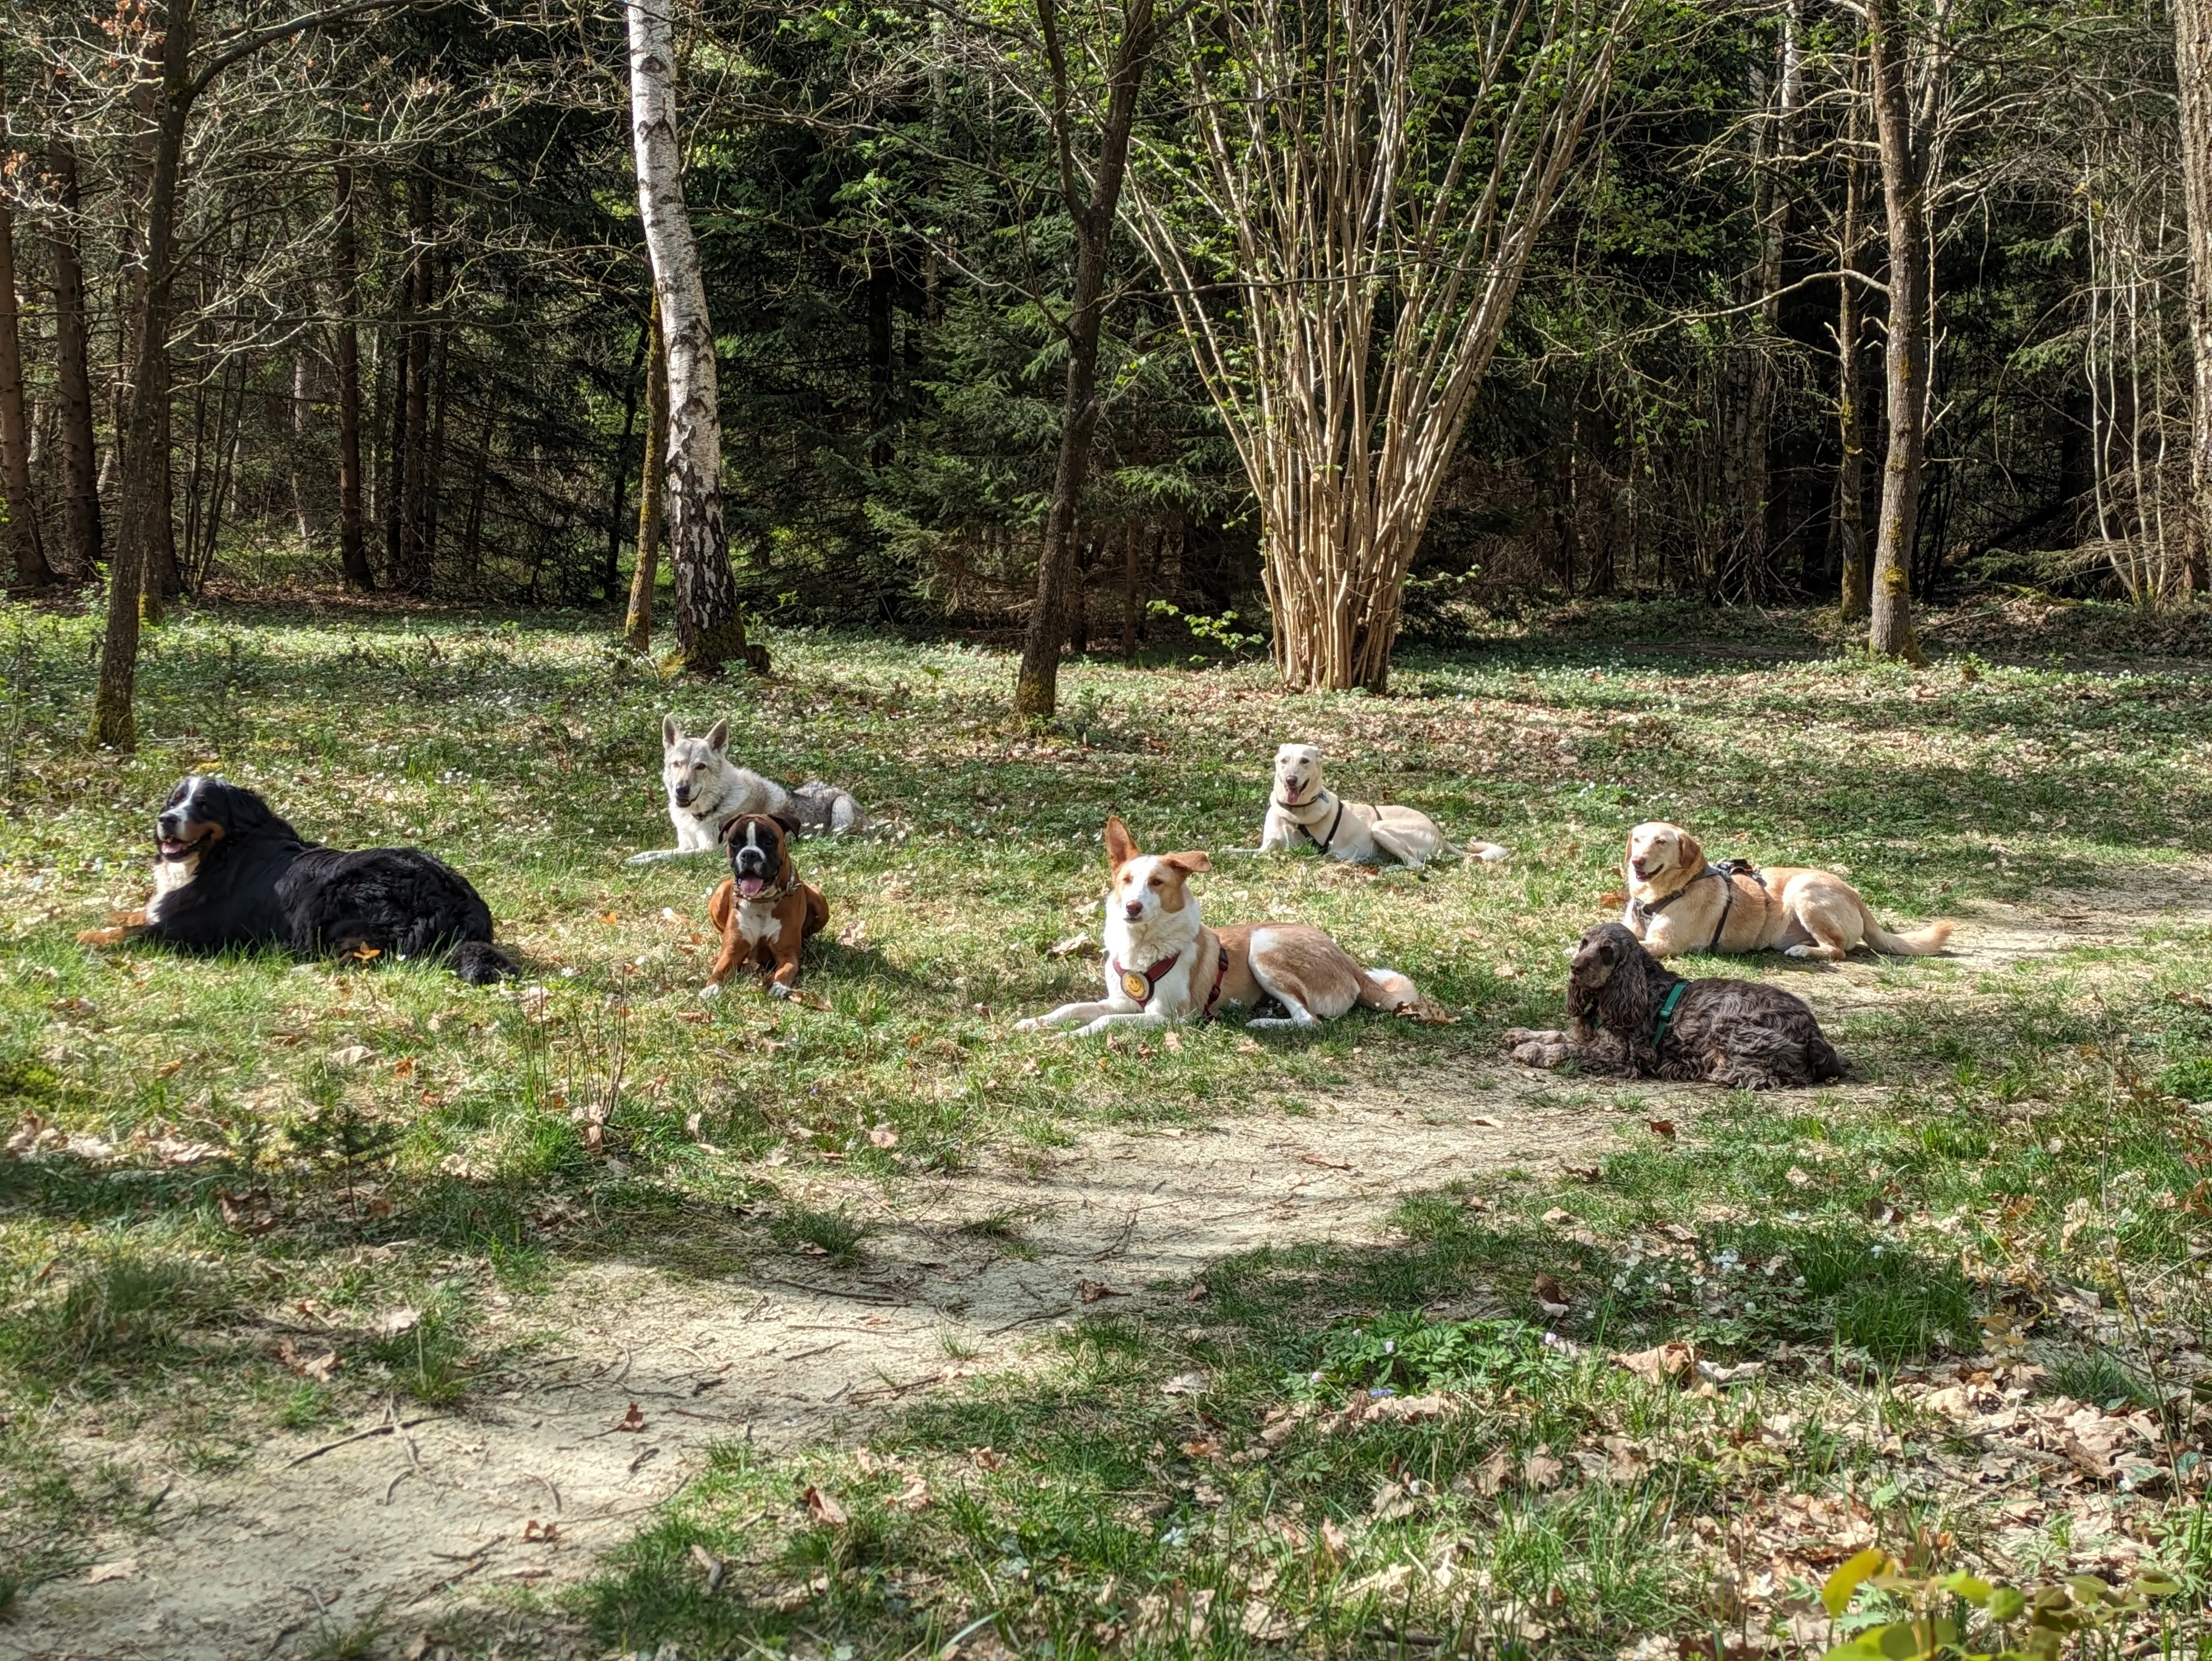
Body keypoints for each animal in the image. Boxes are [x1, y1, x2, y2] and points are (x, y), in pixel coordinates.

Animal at [76, 774, 515, 982]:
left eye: (202, 804)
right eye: (175, 800)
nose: (165, 819)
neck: (223, 852)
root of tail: (457, 896)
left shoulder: (190, 930)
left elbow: (134, 932)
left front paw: (86, 936)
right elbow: (137, 914)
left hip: (338, 904)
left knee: (369, 957)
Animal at [1013, 814, 1416, 1035]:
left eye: (1156, 883)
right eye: (1126, 880)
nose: (1131, 907)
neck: (1142, 945)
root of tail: (1348, 960)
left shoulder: (1168, 1017)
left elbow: (1102, 1024)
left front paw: (1070, 1037)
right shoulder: (1119, 1001)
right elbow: (1070, 1010)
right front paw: (1035, 1023)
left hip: (1264, 946)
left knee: (1310, 1020)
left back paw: (1262, 1024)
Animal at [1504, 924, 1849, 1092]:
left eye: (1607, 951)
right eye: (1584, 943)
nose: (1574, 968)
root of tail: (1816, 1034)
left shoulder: (1621, 1056)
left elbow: (1568, 1049)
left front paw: (1535, 1051)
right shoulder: (1589, 1036)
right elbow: (1556, 1034)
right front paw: (1521, 1035)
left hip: (1730, 1027)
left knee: (1767, 1076)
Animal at [1628, 822, 1955, 960]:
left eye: (1661, 842)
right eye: (1638, 839)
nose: (1637, 861)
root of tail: (1856, 895)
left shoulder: (1666, 943)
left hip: (1804, 892)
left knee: (1838, 951)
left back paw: (1805, 952)